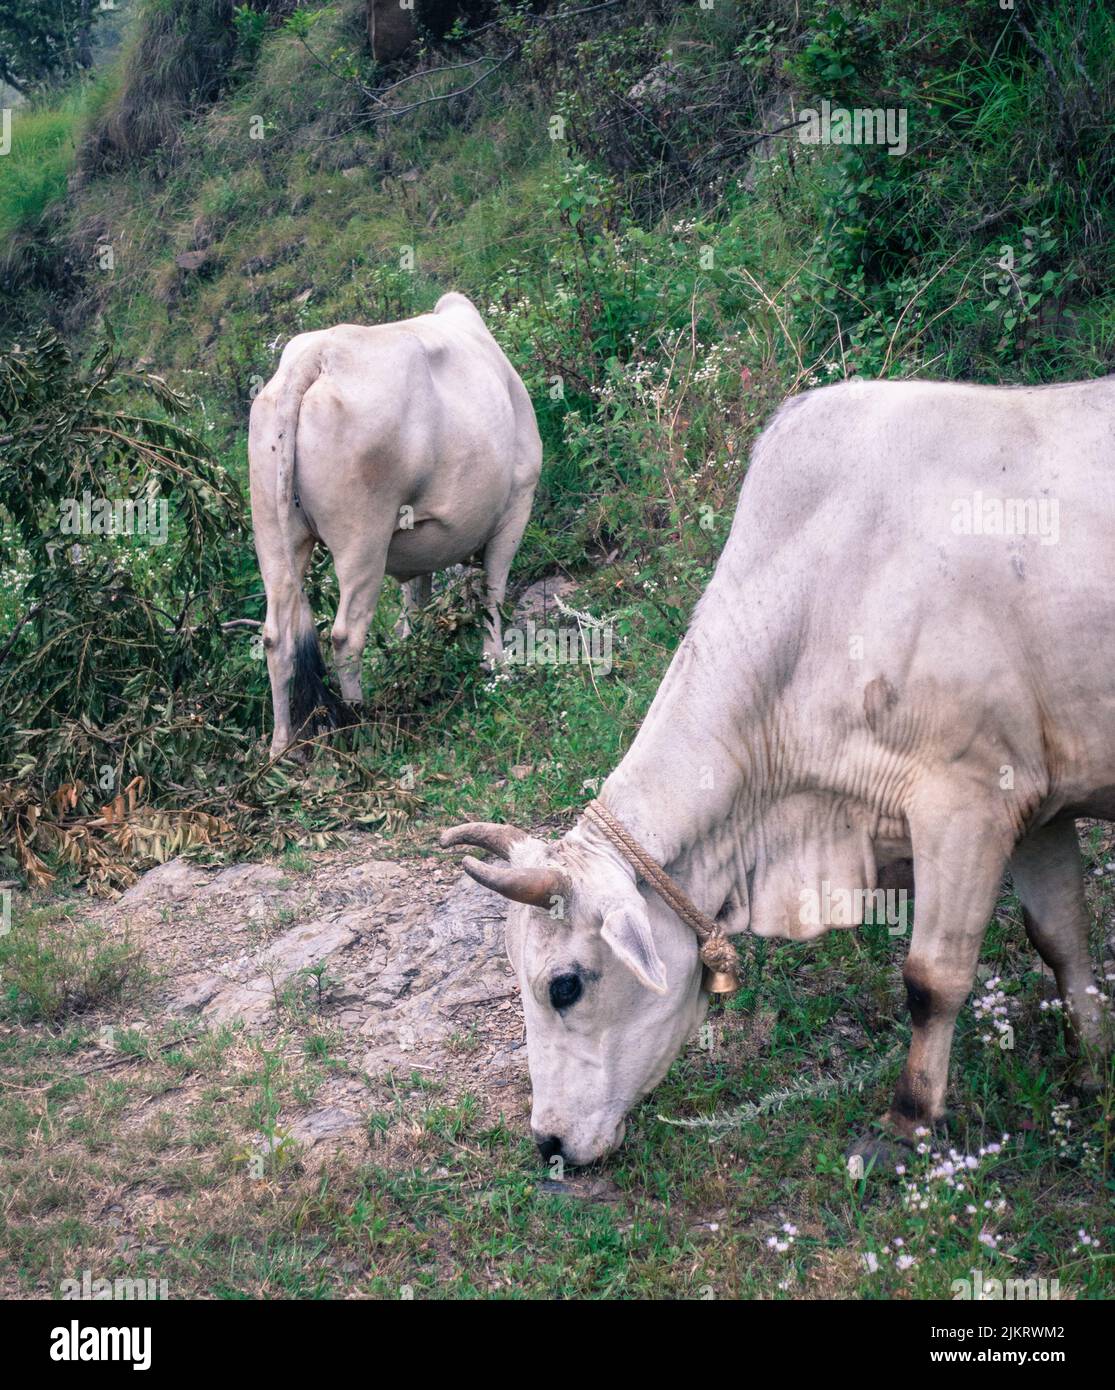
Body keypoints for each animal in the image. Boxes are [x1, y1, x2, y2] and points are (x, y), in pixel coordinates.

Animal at [246, 290, 539, 761]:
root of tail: (316, 356)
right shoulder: (517, 501)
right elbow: (492, 592)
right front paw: (495, 664)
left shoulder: (418, 541)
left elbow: (414, 606)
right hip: (362, 538)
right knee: (346, 635)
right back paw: (364, 730)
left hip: (274, 535)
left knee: (277, 636)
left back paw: (281, 747)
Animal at [442, 375, 1112, 1167]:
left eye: (564, 987)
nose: (547, 1140)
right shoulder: (1037, 804)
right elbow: (1062, 936)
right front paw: (1094, 1072)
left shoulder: (967, 801)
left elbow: (932, 980)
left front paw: (908, 1121)